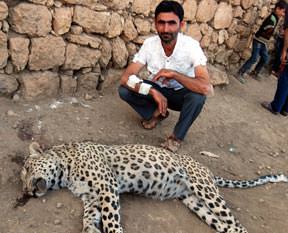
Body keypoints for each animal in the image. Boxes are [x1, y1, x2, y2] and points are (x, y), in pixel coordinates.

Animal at [20, 140, 288, 233]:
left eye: (27, 170)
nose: (27, 192)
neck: (66, 172)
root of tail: (207, 170)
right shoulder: (92, 197)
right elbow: (88, 218)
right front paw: (90, 229)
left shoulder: (106, 187)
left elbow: (110, 219)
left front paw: (113, 231)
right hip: (194, 203)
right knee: (225, 225)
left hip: (205, 189)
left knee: (236, 223)